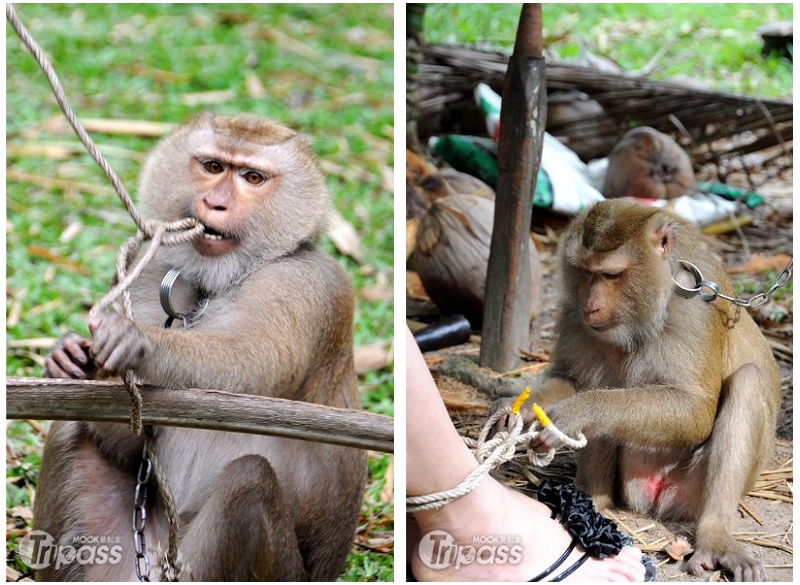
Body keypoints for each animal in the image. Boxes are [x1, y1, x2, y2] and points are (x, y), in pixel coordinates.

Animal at [35, 113, 366, 580]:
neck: (216, 282)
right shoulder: (146, 274)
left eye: (252, 177)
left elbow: (251, 364)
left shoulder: (307, 286)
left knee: (249, 482)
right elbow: (128, 437)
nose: (215, 203)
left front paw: (141, 344)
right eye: (212, 167)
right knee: (70, 428)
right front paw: (68, 358)